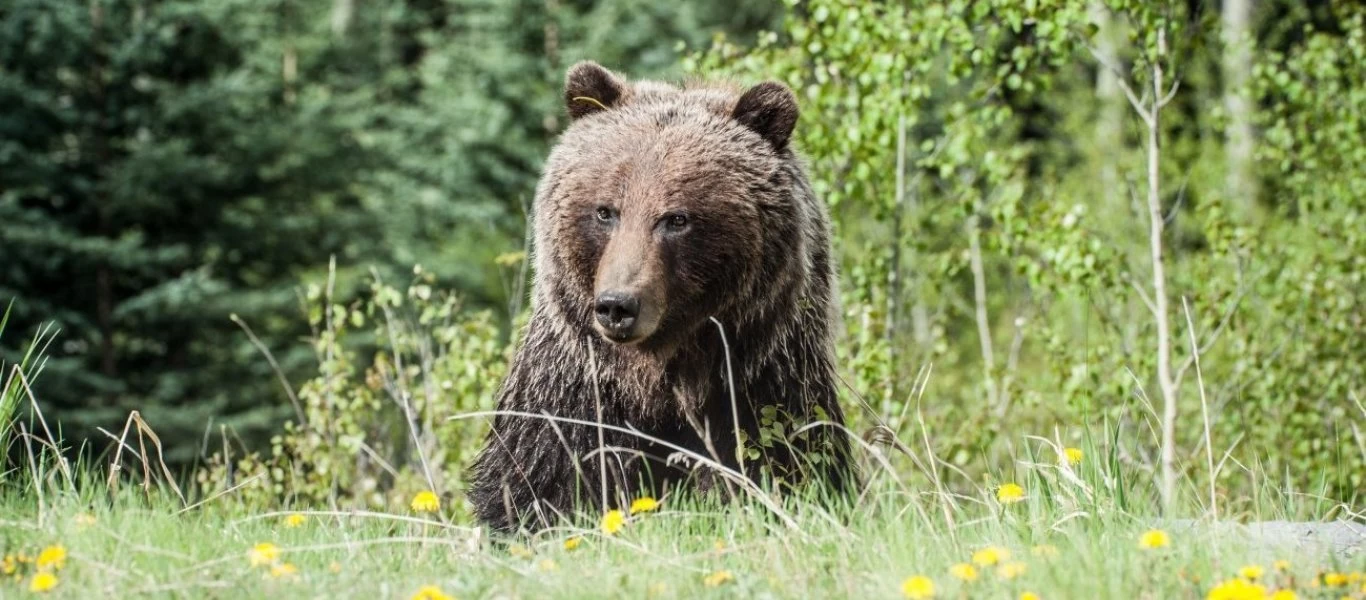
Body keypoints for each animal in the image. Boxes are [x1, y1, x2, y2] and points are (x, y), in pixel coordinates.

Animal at [472, 61, 852, 530]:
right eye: (605, 211)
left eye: (676, 219)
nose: (617, 306)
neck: (659, 378)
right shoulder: (574, 391)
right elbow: (540, 480)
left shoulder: (761, 383)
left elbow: (783, 463)